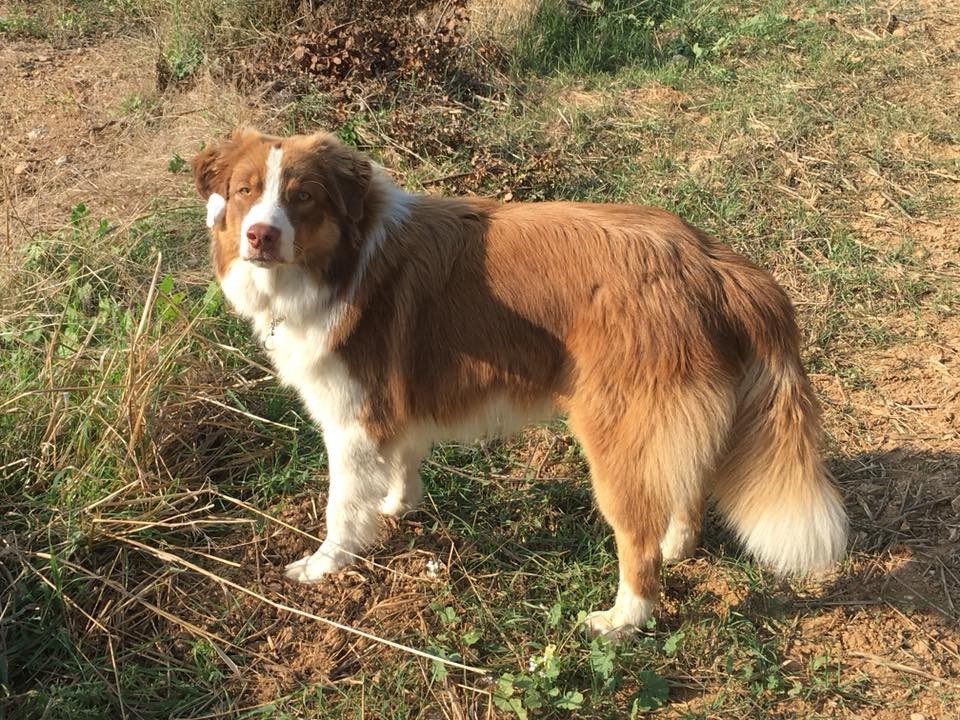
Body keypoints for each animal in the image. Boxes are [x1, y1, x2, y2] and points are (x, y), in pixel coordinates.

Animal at [193, 128, 848, 636]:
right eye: (246, 192)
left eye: (301, 197)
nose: (259, 235)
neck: (343, 262)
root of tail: (715, 265)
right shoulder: (395, 403)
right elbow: (403, 462)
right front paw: (399, 506)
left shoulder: (352, 417)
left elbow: (340, 507)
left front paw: (324, 565)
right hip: (663, 424)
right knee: (686, 485)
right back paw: (676, 546)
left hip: (617, 435)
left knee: (636, 541)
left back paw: (622, 619)